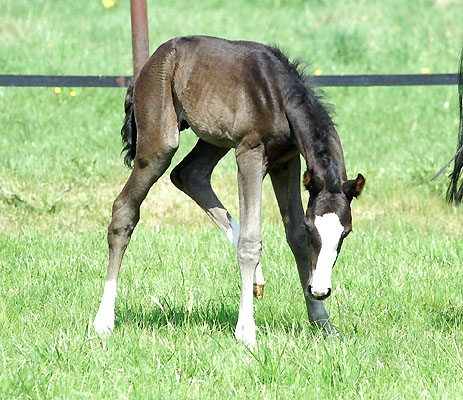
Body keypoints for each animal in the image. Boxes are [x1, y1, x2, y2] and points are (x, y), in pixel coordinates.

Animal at [93, 35, 366, 346]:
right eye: (314, 229)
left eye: (346, 232)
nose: (320, 290)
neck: (278, 95)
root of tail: (147, 66)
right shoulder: (250, 153)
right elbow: (251, 240)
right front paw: (246, 331)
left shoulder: (286, 161)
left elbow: (293, 236)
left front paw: (322, 322)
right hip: (161, 141)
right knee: (125, 208)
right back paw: (103, 321)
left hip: (216, 139)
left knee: (189, 174)